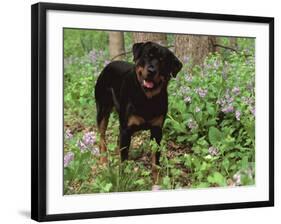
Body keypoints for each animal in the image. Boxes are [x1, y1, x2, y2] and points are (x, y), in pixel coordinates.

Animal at [94, 42, 182, 184]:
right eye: (147, 56)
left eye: (162, 61)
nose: (151, 71)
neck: (147, 98)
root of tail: (108, 65)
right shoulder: (126, 129)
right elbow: (123, 160)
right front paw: (123, 178)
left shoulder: (157, 130)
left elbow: (155, 160)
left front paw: (157, 182)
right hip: (102, 110)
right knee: (102, 137)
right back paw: (103, 161)